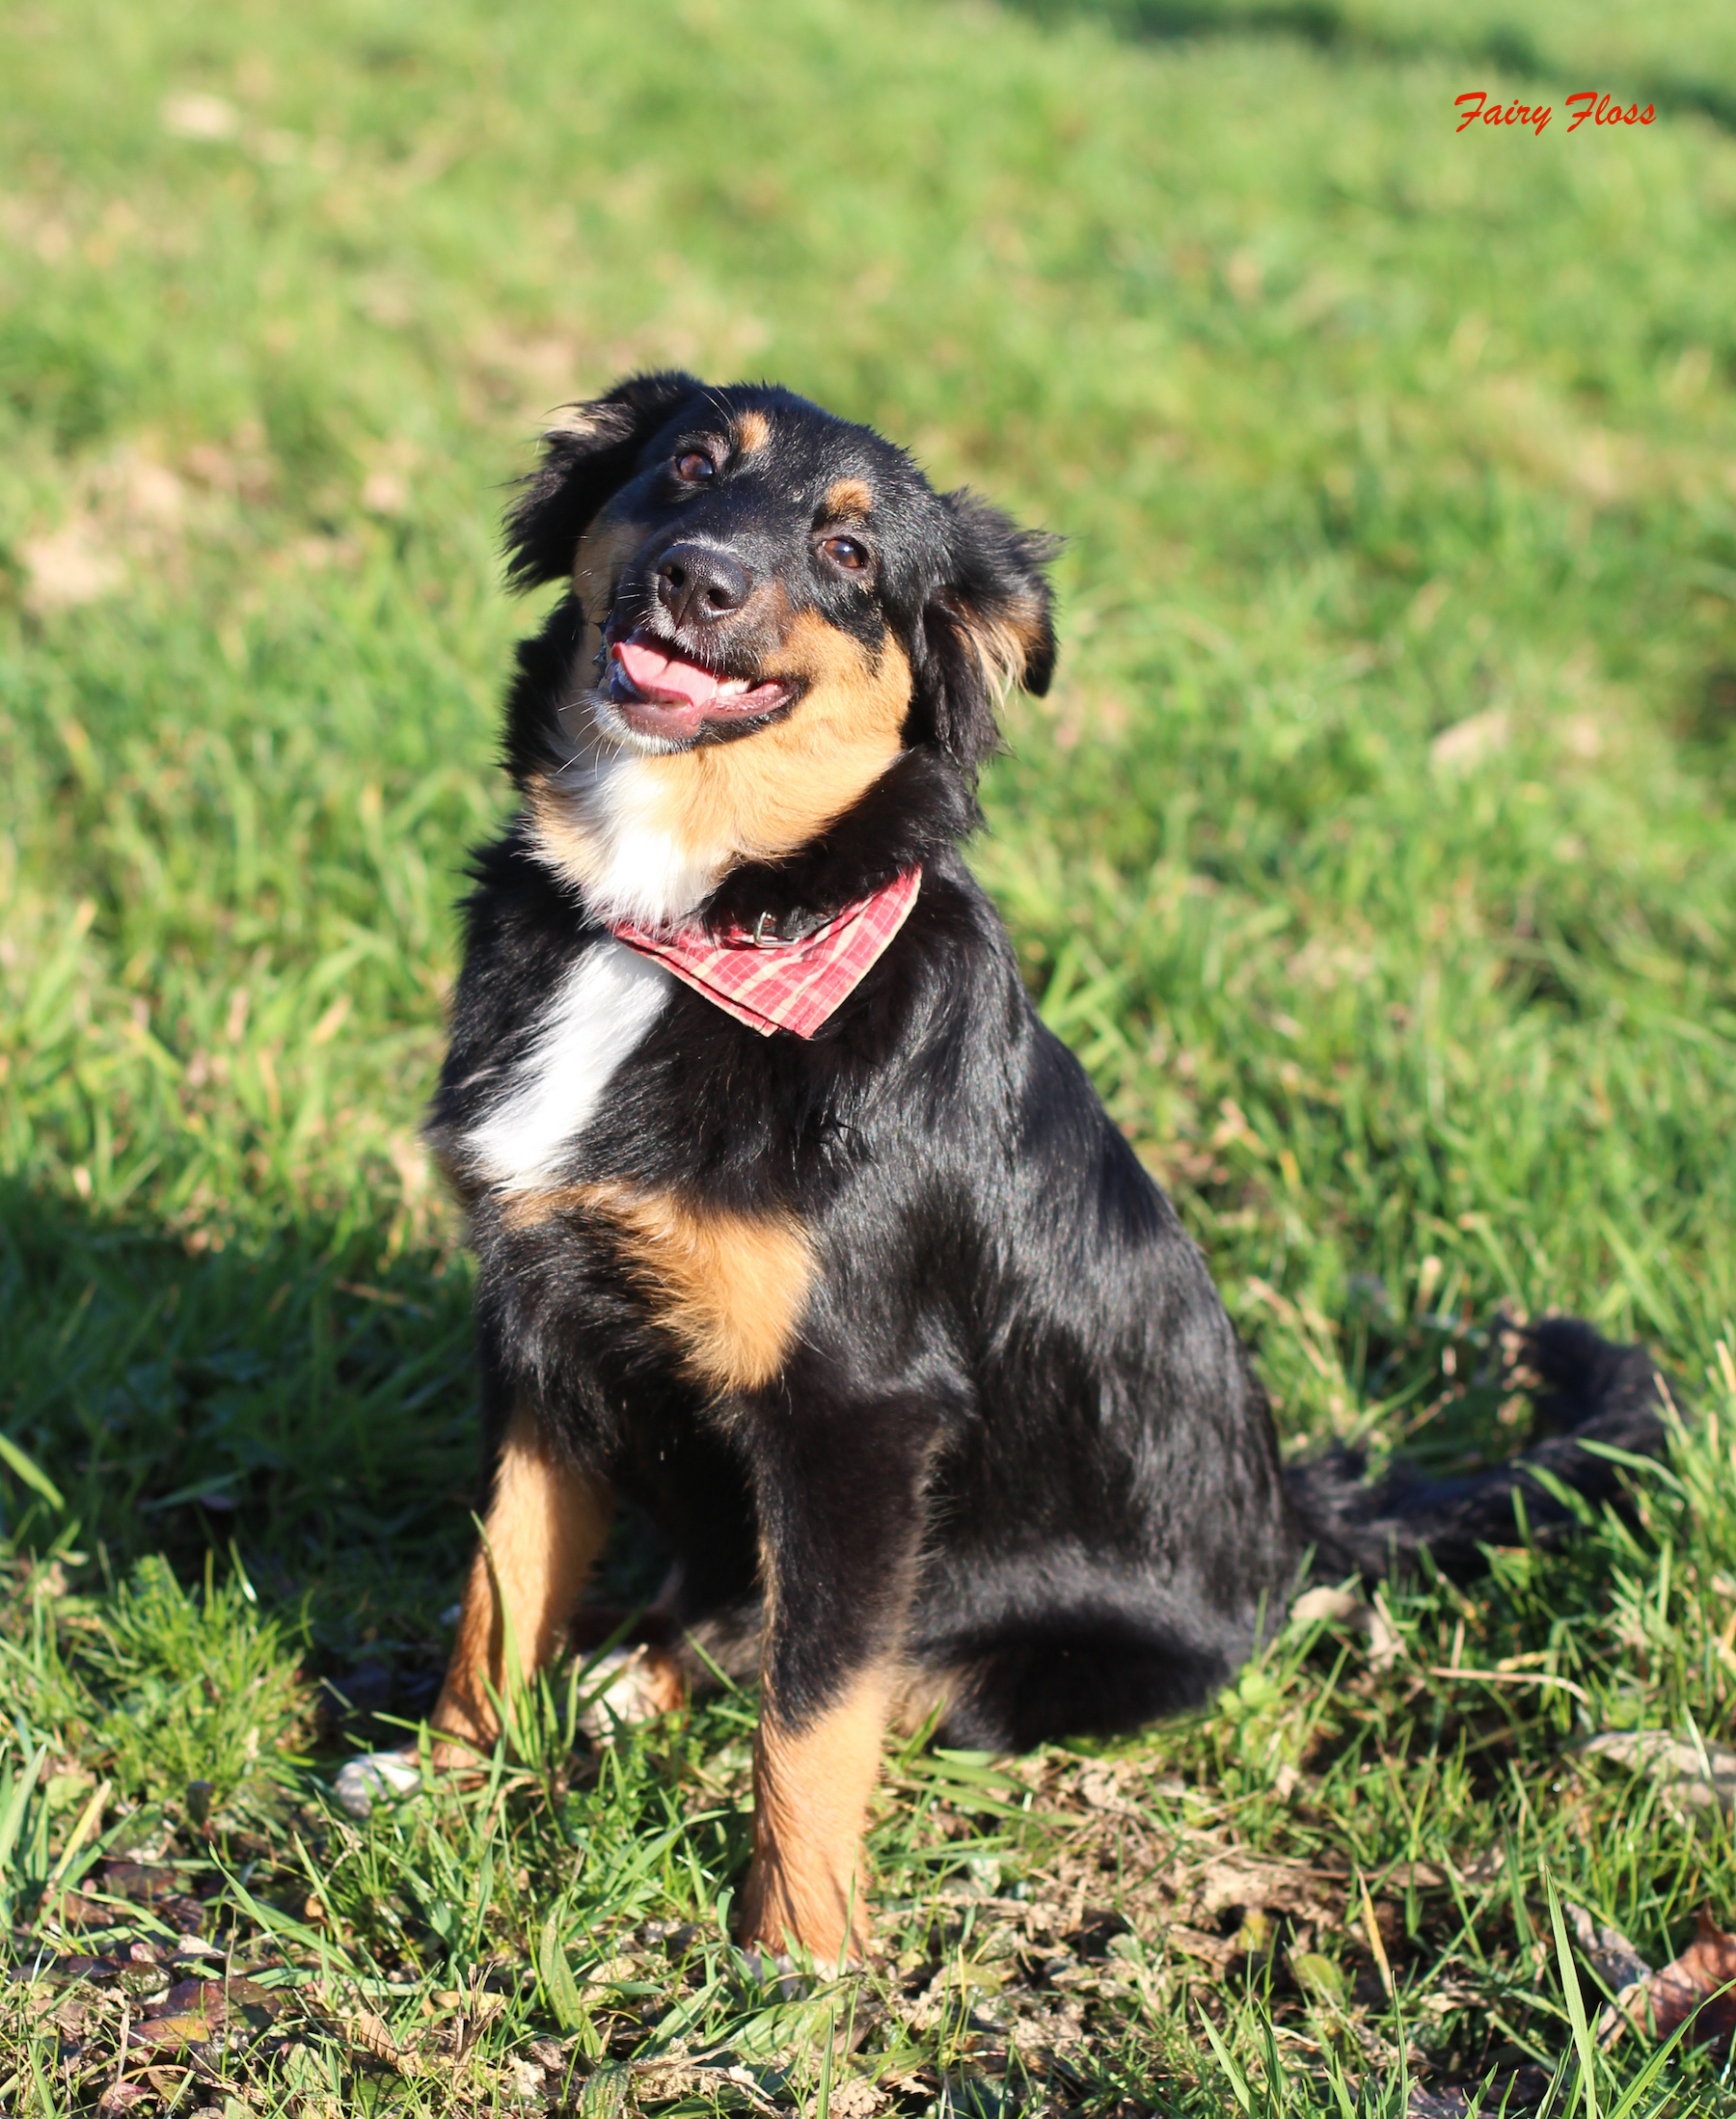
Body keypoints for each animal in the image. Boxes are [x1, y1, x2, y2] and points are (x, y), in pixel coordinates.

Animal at [328, 368, 1669, 1966]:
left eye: (852, 557)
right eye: (691, 466)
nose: (698, 579)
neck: (690, 926)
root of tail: (1293, 1514)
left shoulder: (859, 1412)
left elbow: (814, 1710)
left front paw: (797, 1956)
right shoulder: (541, 1331)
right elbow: (503, 1584)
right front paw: (448, 1780)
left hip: (1013, 1651)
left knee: (849, 1662)